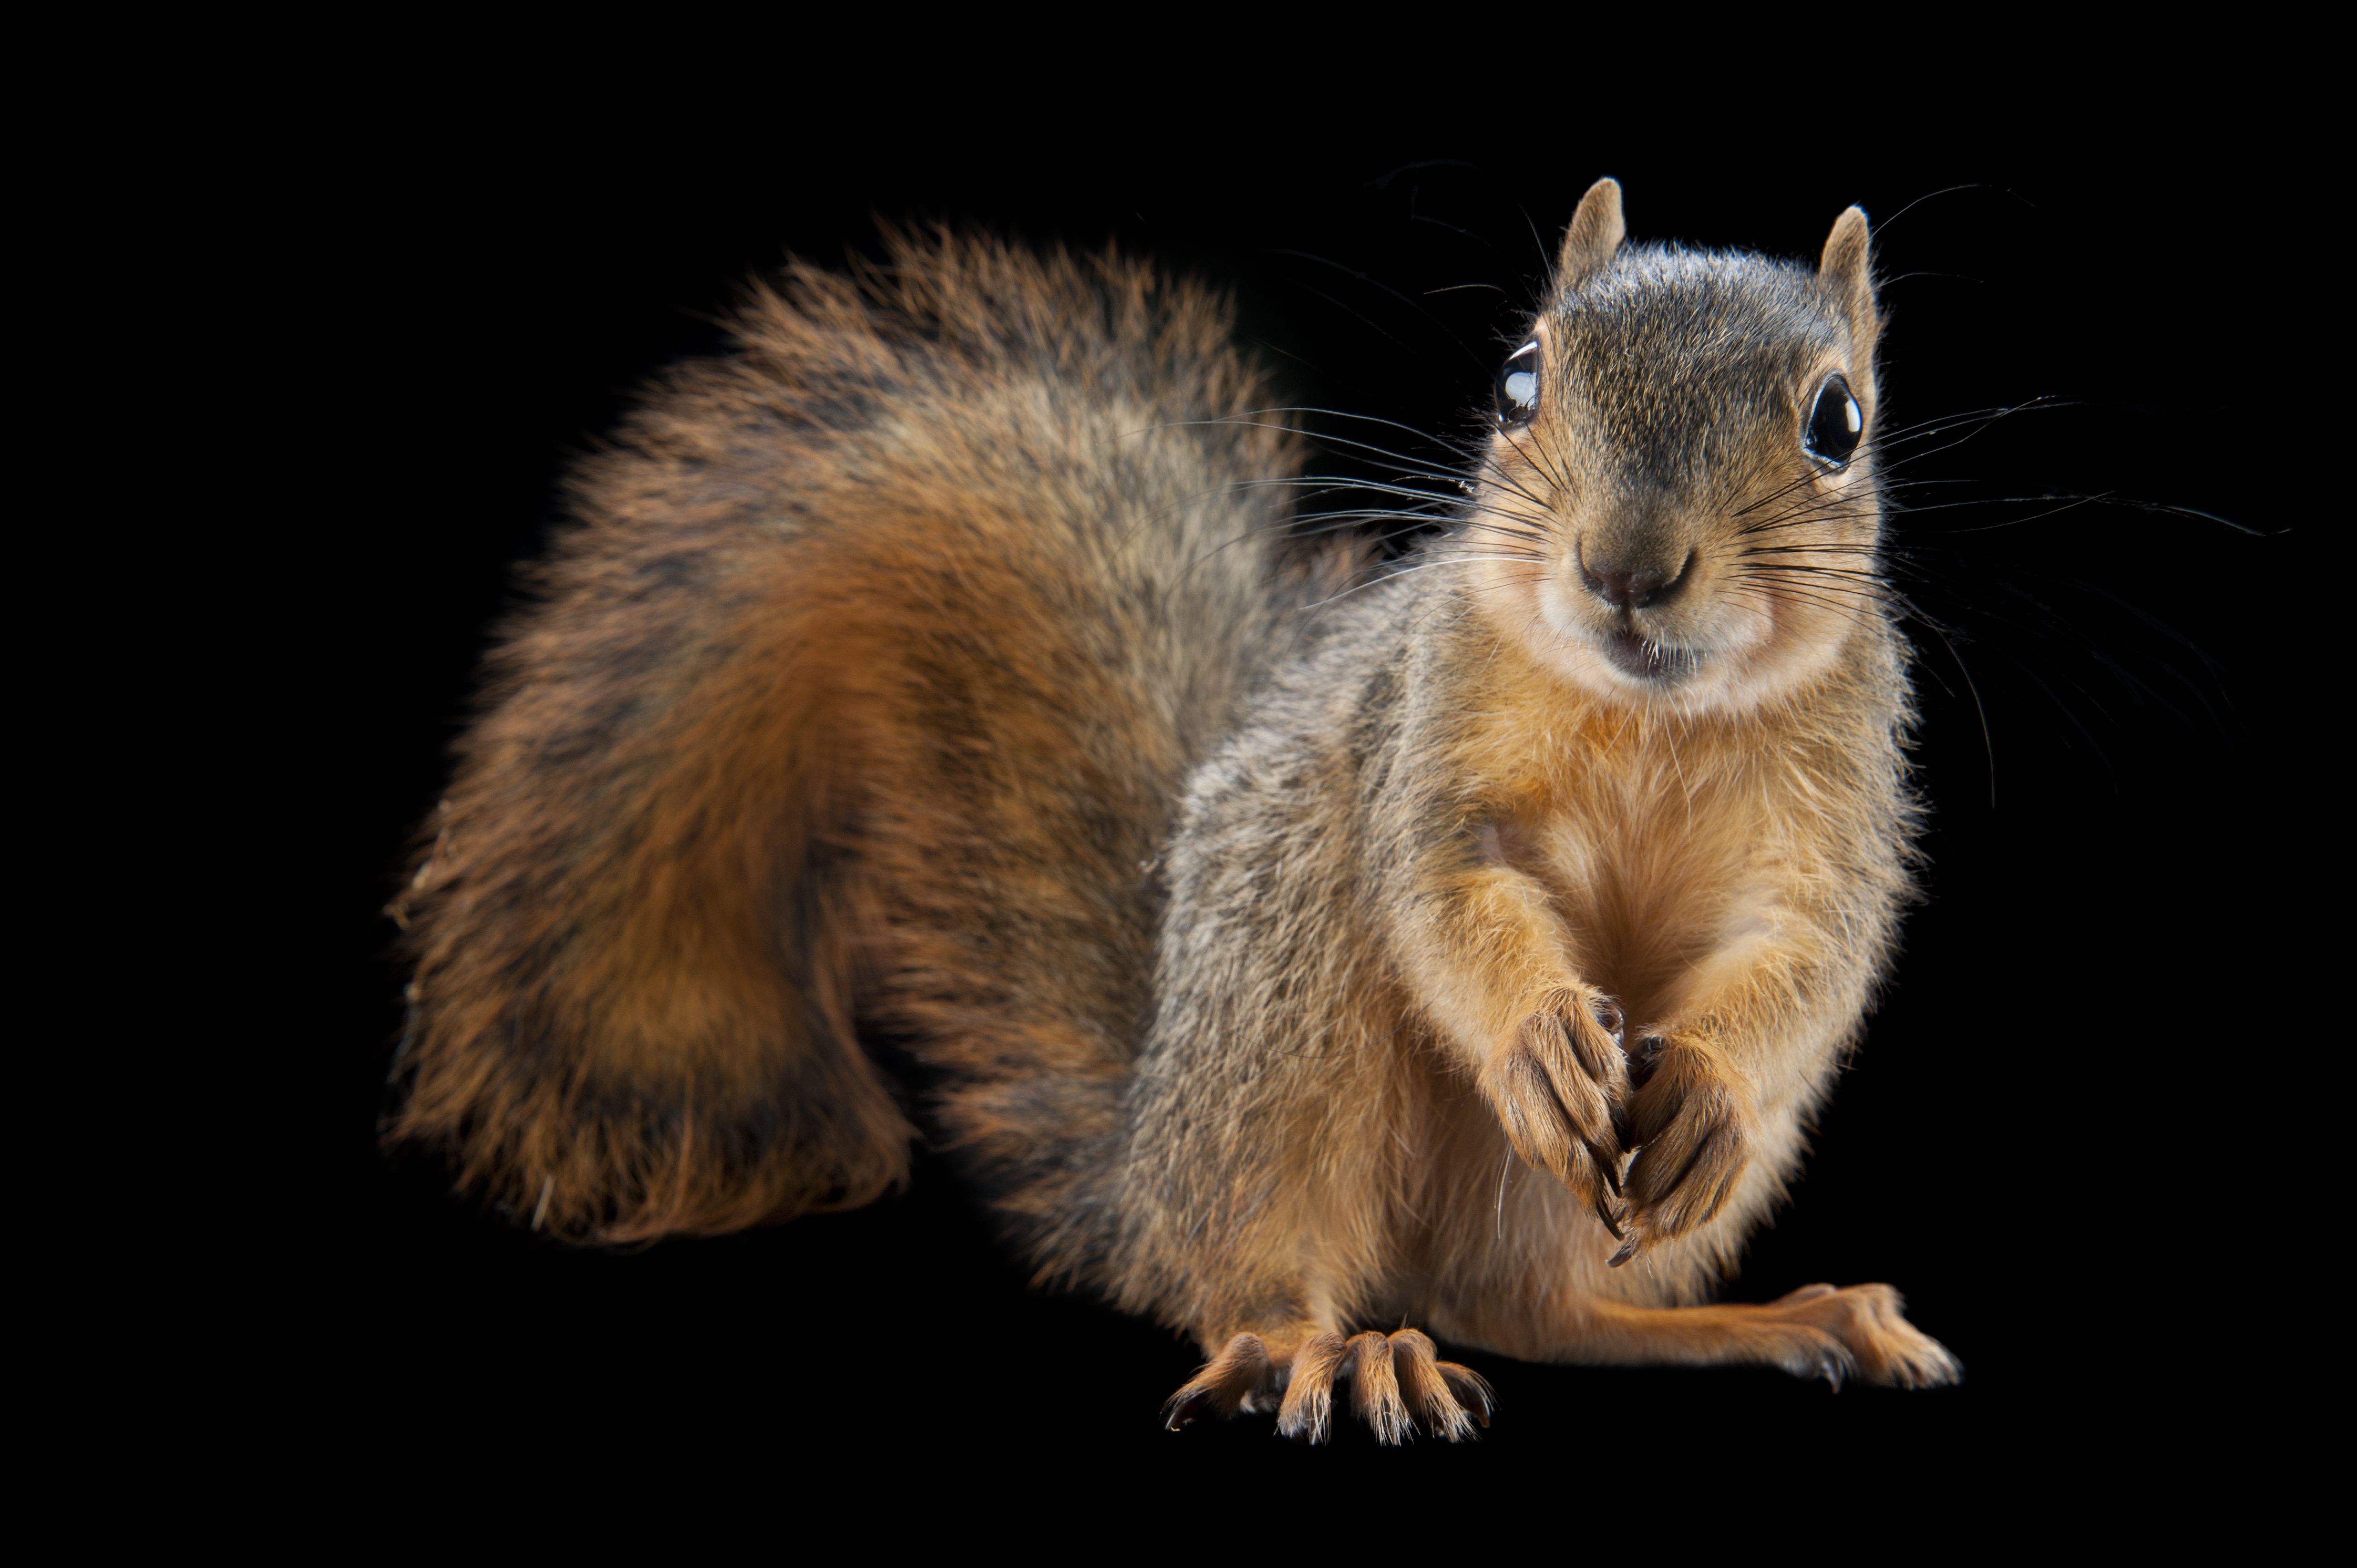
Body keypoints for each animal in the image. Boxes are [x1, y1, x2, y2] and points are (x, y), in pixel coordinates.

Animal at [391, 177, 1970, 1433]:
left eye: (1837, 423)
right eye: (1519, 381)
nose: (1626, 568)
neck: (1648, 715)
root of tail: (1146, 1167)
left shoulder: (1839, 818)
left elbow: (1803, 958)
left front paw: (1705, 1082)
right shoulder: (1423, 740)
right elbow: (1444, 896)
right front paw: (1532, 1031)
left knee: (1530, 1309)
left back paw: (1768, 1317)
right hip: (1283, 1028)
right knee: (1273, 1272)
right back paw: (1325, 1349)